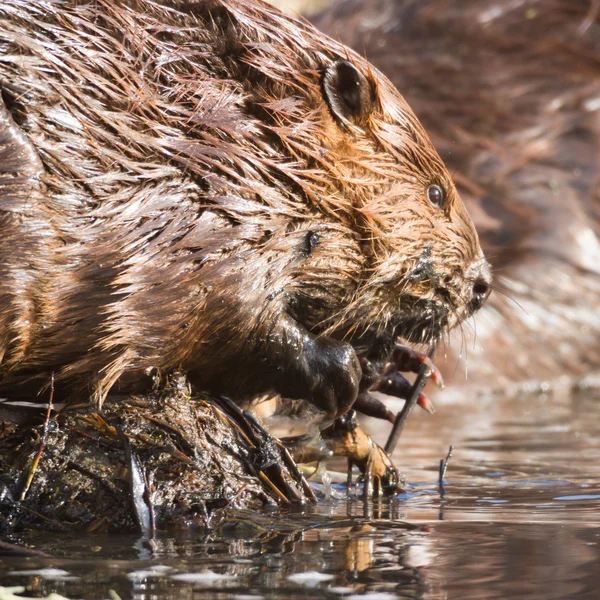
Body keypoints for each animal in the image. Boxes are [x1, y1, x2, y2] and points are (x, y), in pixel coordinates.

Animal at [0, 0, 490, 422]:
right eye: (435, 193)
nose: (482, 284)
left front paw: (392, 372)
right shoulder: (191, 214)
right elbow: (214, 312)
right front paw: (348, 369)